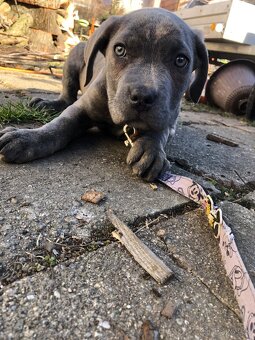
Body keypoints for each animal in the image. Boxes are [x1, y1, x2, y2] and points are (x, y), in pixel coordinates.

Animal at [0, 7, 207, 181]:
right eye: (120, 49)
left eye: (181, 60)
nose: (142, 97)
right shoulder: (81, 108)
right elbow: (60, 125)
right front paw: (29, 138)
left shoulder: (170, 119)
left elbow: (160, 130)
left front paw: (151, 149)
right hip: (72, 60)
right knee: (67, 96)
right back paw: (48, 105)